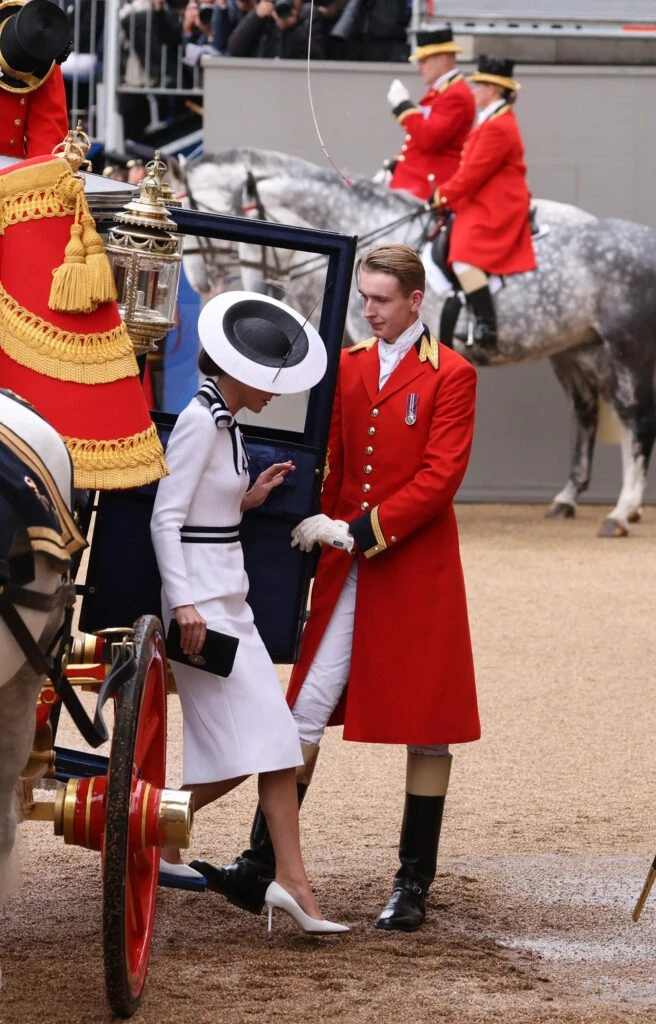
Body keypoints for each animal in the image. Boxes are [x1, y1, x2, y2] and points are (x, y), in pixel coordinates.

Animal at [172, 147, 656, 537]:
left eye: (257, 228)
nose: (256, 290)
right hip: (577, 350)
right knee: (588, 412)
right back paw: (569, 498)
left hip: (624, 349)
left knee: (634, 420)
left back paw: (622, 510)